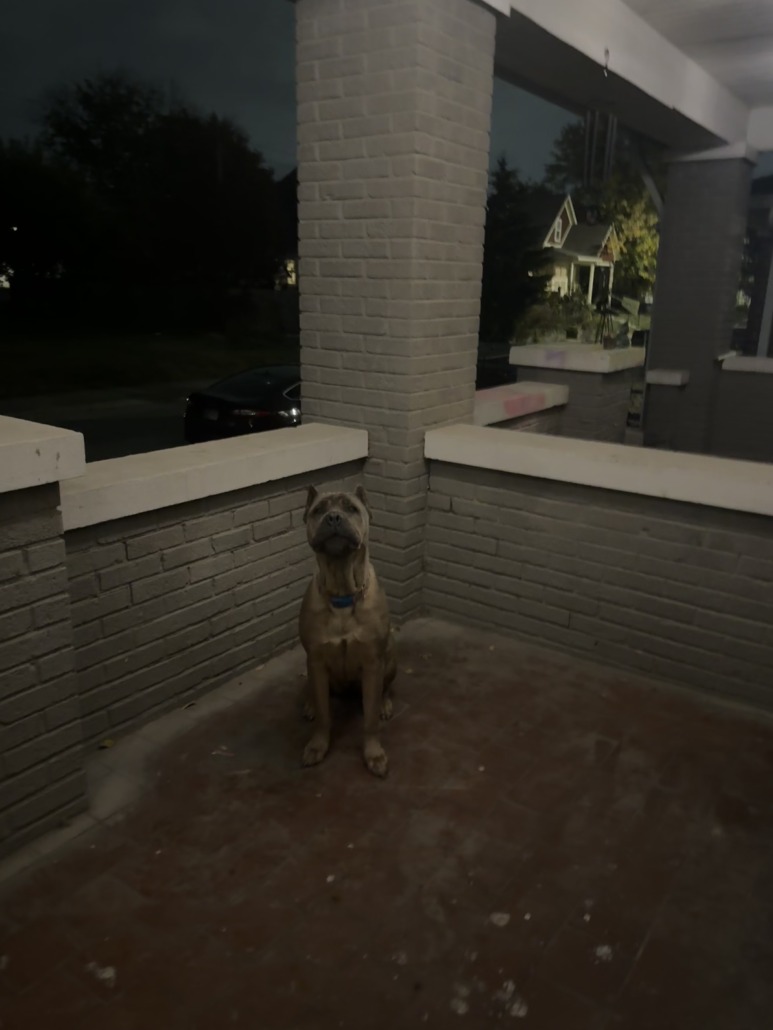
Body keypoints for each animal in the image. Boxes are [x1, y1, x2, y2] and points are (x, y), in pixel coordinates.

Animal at [299, 484, 396, 777]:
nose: (333, 517)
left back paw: (385, 703)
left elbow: (370, 720)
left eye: (351, 508)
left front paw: (373, 754)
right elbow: (324, 715)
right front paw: (317, 746)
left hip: (390, 657)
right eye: (318, 510)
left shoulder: (373, 663)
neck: (342, 592)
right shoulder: (316, 661)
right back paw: (309, 704)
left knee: (385, 688)